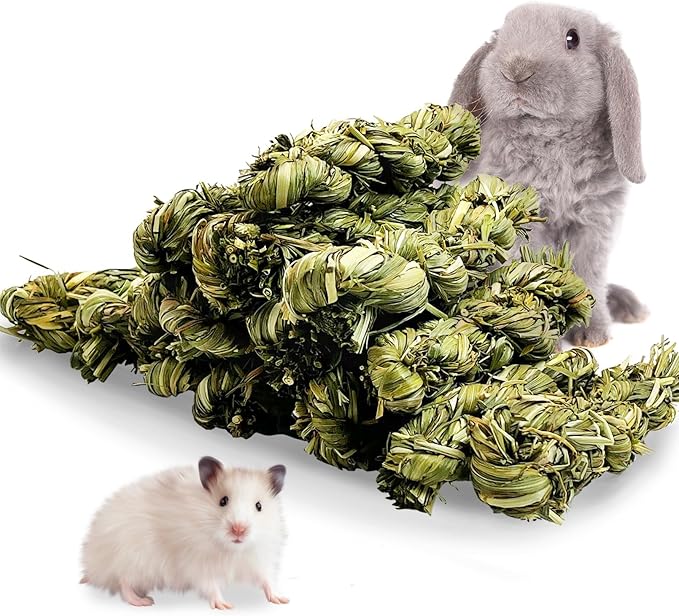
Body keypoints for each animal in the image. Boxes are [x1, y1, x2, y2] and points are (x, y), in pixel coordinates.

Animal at [80, 456, 289, 608]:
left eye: (259, 506)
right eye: (223, 501)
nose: (239, 530)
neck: (231, 550)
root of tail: (93, 565)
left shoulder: (258, 559)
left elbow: (267, 580)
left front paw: (281, 600)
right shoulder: (198, 564)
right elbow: (211, 586)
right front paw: (225, 606)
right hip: (133, 558)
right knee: (123, 582)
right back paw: (144, 601)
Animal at [448, 2, 648, 347]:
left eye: (572, 39)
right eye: (503, 36)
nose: (516, 70)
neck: (552, 141)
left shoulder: (594, 226)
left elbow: (588, 276)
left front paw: (592, 335)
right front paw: (542, 341)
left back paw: (628, 306)